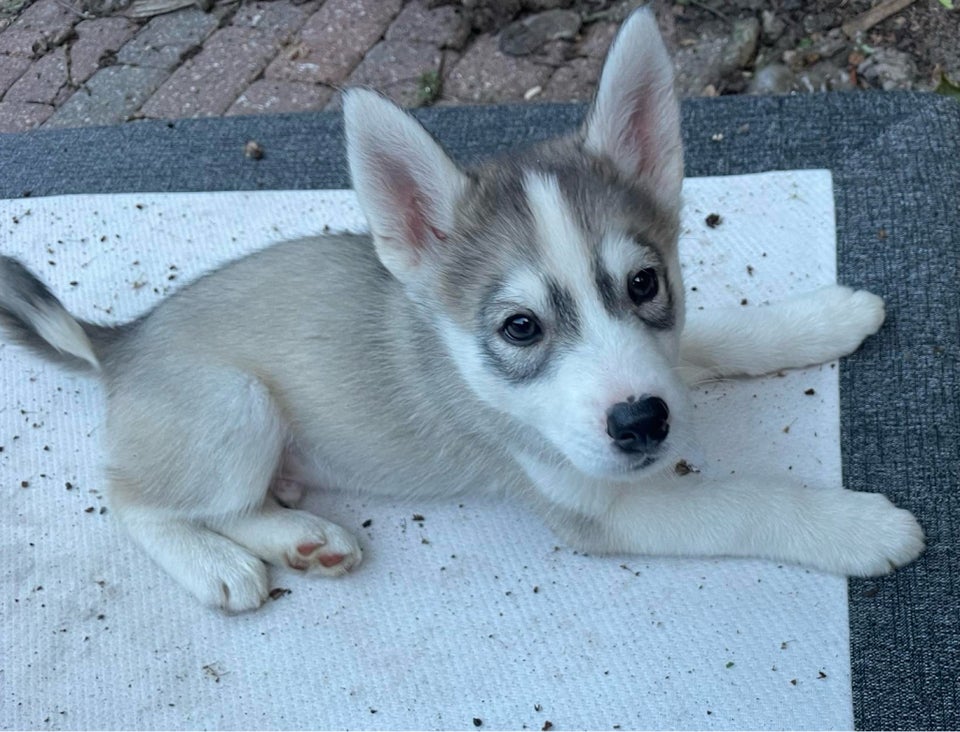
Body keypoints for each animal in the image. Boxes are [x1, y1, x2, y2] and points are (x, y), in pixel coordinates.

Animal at [0, 8, 924, 612]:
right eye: (520, 328)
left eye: (645, 284)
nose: (643, 423)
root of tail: (122, 342)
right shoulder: (603, 506)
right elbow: (750, 500)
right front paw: (856, 526)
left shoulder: (661, 357)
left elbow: (724, 334)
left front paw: (828, 317)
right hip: (235, 403)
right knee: (136, 501)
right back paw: (216, 568)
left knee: (233, 502)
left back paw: (304, 537)